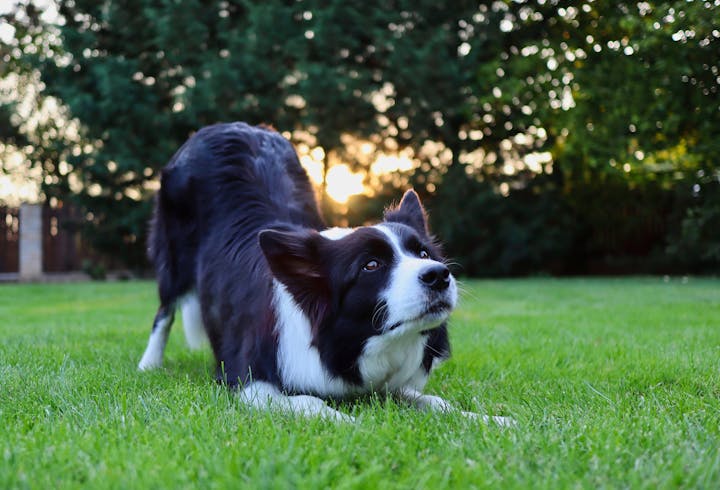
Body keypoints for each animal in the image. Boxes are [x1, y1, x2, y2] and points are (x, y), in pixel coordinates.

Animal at [139, 121, 512, 424]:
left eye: (422, 253)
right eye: (371, 265)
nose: (438, 275)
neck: (352, 343)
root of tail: (226, 126)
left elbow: (433, 401)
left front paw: (490, 419)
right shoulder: (246, 379)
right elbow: (309, 402)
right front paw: (351, 423)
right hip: (173, 256)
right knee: (164, 310)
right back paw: (149, 364)